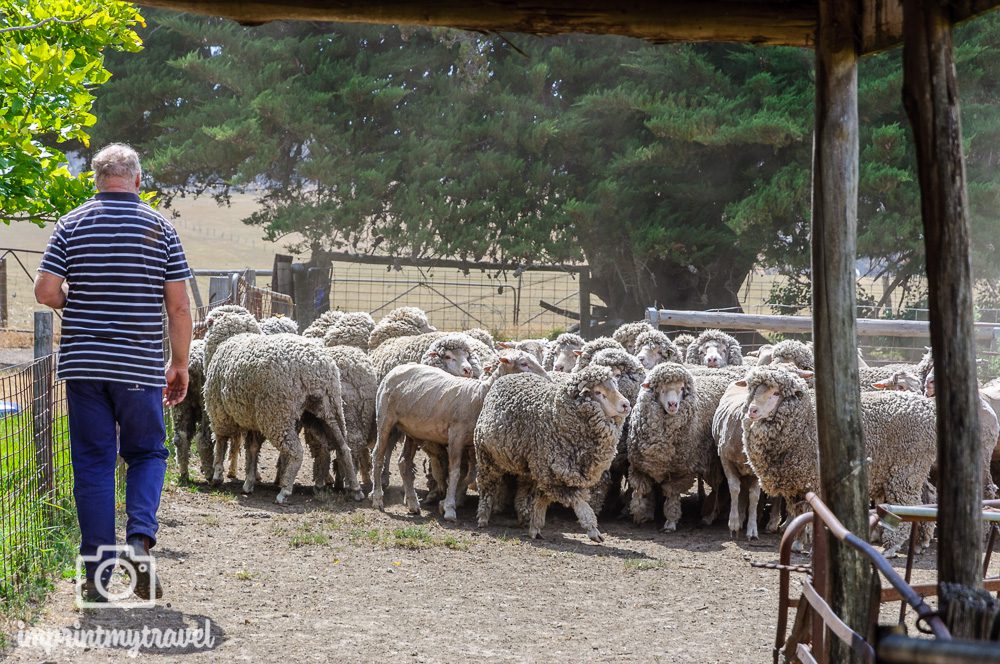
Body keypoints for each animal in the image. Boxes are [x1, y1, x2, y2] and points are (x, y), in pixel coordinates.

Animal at [201, 312, 362, 504]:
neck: (229, 339)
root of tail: (315, 366)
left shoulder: (219, 412)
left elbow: (220, 441)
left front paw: (217, 475)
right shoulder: (254, 418)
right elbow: (252, 448)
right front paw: (249, 482)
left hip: (277, 413)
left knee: (297, 451)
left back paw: (285, 490)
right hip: (327, 410)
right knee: (343, 447)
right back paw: (354, 489)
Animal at [474, 366, 628, 544]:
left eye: (615, 386)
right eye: (598, 392)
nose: (626, 404)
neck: (557, 418)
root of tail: (510, 376)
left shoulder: (548, 474)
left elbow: (541, 501)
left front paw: (535, 528)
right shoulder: (553, 475)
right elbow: (580, 502)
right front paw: (593, 530)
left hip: (527, 467)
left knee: (523, 490)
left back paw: (523, 517)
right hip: (486, 457)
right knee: (487, 487)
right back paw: (483, 518)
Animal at [744, 366, 936, 552]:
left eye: (776, 393)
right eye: (754, 391)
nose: (752, 410)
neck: (805, 420)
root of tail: (927, 409)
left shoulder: (815, 480)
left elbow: (816, 514)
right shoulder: (795, 485)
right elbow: (799, 513)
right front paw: (797, 543)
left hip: (906, 469)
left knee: (907, 503)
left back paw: (893, 546)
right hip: (912, 469)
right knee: (927, 497)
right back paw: (920, 541)